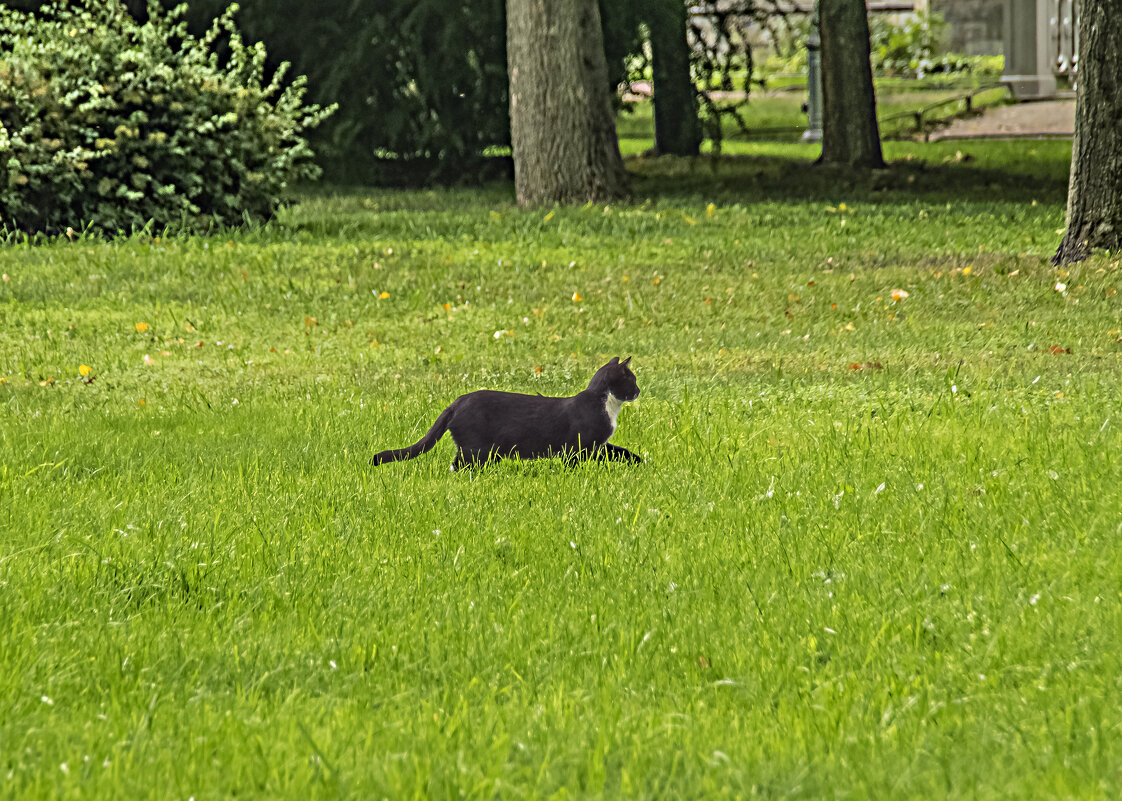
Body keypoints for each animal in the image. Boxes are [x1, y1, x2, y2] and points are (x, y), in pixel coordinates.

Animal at [374, 356, 646, 468]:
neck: (607, 407)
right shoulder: (579, 446)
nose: (639, 390)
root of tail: (457, 402)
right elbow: (576, 464)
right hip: (477, 449)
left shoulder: (599, 445)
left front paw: (640, 462)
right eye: (632, 380)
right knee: (459, 466)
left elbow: (620, 451)